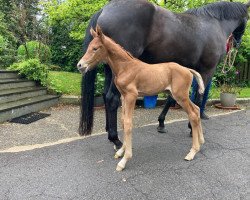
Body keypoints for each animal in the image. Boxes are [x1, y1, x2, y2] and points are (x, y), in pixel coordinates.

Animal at [77, 25, 205, 171]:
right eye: (89, 46)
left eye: (95, 48)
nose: (80, 65)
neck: (125, 67)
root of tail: (188, 70)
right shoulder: (124, 97)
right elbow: (123, 121)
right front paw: (121, 152)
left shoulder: (131, 96)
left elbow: (128, 123)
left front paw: (124, 160)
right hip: (177, 95)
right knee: (196, 109)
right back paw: (201, 141)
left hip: (180, 96)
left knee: (193, 114)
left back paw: (192, 152)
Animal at [78, 0, 250, 149]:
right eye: (248, 18)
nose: (237, 43)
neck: (214, 23)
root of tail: (105, 9)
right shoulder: (206, 70)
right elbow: (198, 98)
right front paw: (191, 127)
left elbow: (172, 97)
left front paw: (161, 123)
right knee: (112, 98)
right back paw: (116, 139)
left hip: (111, 69)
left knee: (106, 96)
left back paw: (109, 130)